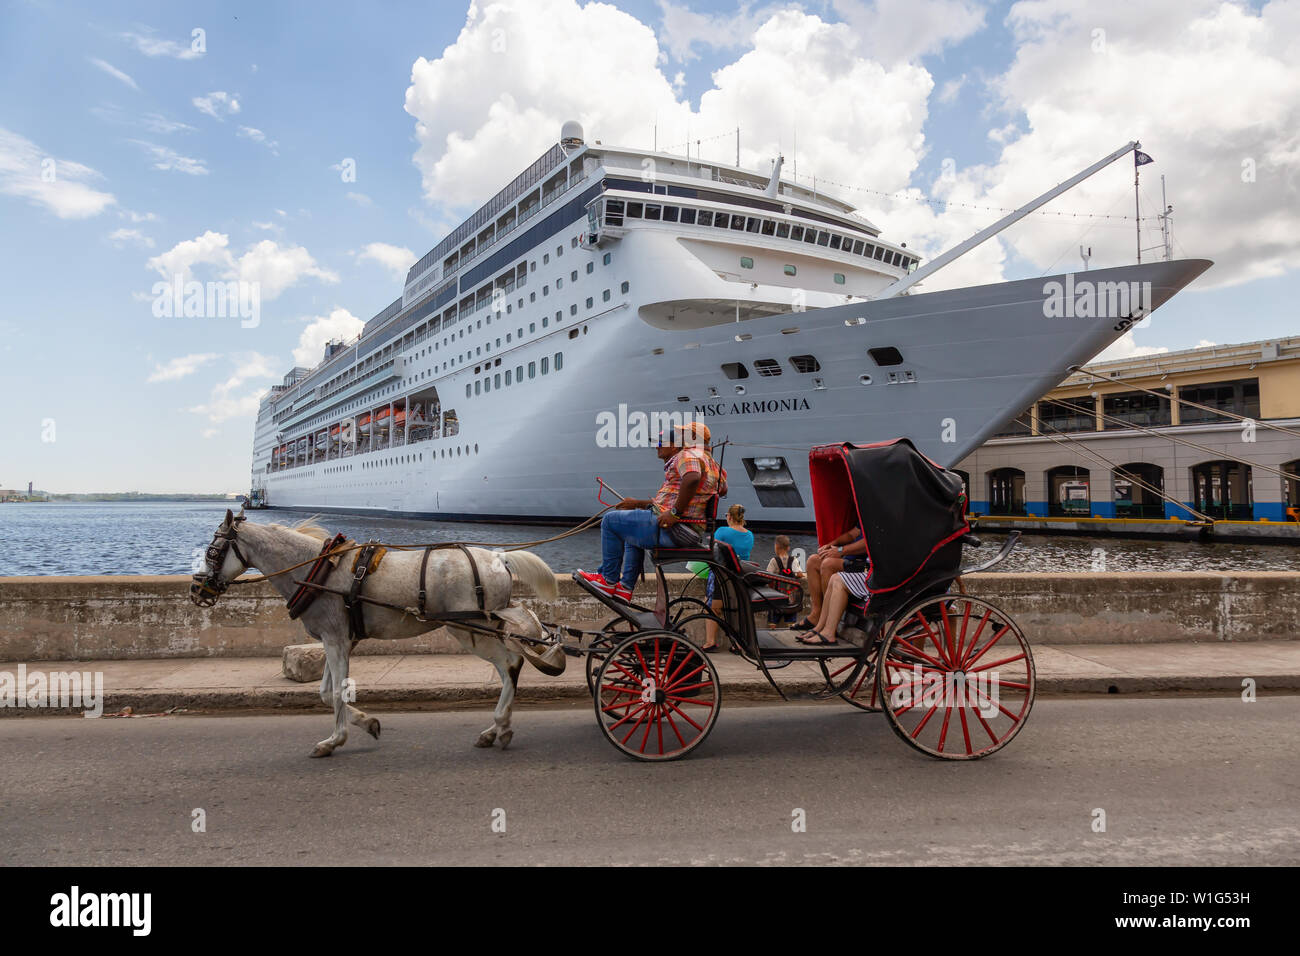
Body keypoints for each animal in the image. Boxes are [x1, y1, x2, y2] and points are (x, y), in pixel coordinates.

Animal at [189, 512, 561, 759]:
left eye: (212, 551)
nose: (196, 590)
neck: (315, 570)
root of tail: (499, 557)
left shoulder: (336, 639)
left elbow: (336, 692)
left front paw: (334, 740)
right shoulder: (338, 639)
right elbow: (325, 692)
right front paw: (368, 724)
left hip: (468, 629)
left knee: (511, 662)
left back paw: (501, 724)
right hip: (484, 625)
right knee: (516, 650)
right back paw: (497, 728)